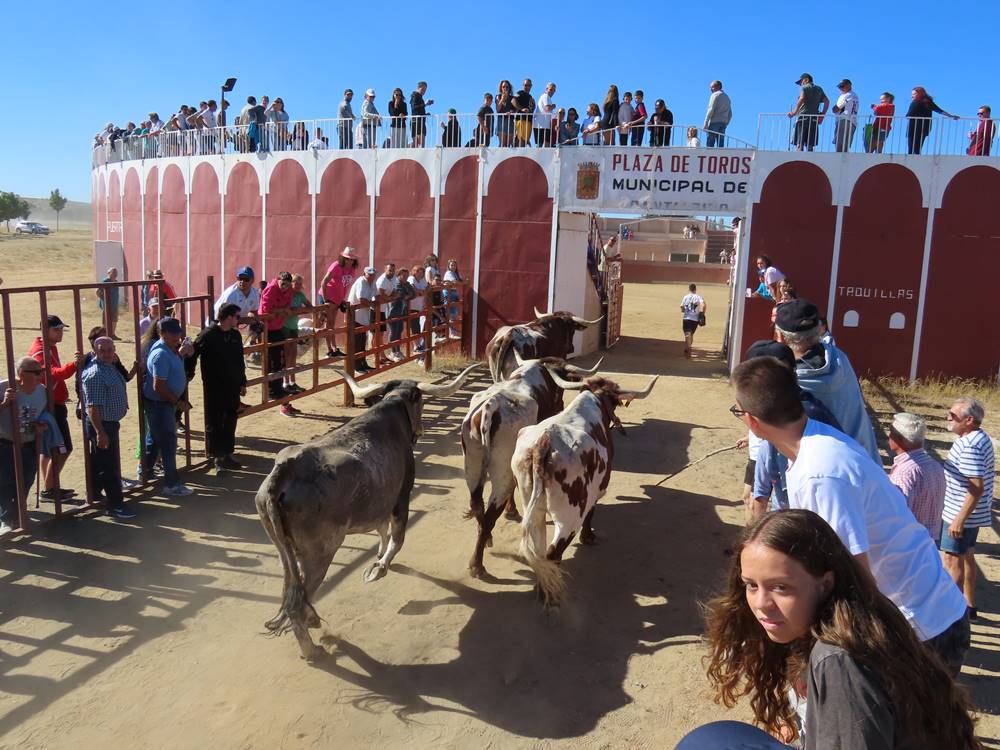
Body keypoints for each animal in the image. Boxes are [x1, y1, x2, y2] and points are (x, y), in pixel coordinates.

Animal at [256, 364, 478, 656]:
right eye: (420, 401)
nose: (419, 431)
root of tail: (285, 471)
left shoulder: (380, 505)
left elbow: (382, 532)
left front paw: (379, 558)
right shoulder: (401, 497)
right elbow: (397, 537)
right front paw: (379, 567)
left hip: (285, 552)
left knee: (294, 590)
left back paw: (312, 620)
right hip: (320, 553)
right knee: (296, 603)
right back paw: (312, 649)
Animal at [458, 356, 600, 580]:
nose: (560, 404)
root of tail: (491, 405)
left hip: (471, 464)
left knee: (477, 505)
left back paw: (486, 542)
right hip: (502, 472)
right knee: (490, 514)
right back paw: (477, 565)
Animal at [512, 374, 660, 608]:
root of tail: (544, 443)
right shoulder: (598, 488)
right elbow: (592, 511)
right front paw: (588, 537)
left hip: (532, 507)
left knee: (539, 551)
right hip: (569, 516)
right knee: (553, 552)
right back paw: (549, 593)